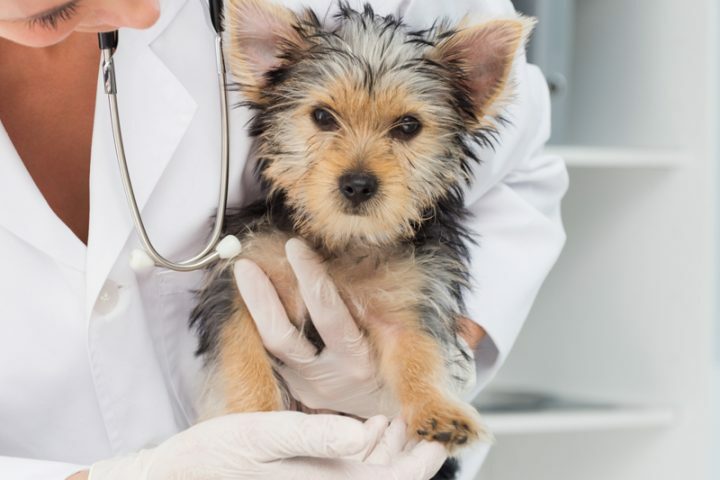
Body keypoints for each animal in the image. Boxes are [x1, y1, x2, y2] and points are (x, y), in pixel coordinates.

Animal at [191, 0, 528, 454]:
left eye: (408, 126)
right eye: (322, 116)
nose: (357, 184)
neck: (343, 240)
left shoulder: (410, 297)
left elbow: (419, 353)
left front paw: (438, 409)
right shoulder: (241, 281)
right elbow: (242, 355)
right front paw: (252, 425)